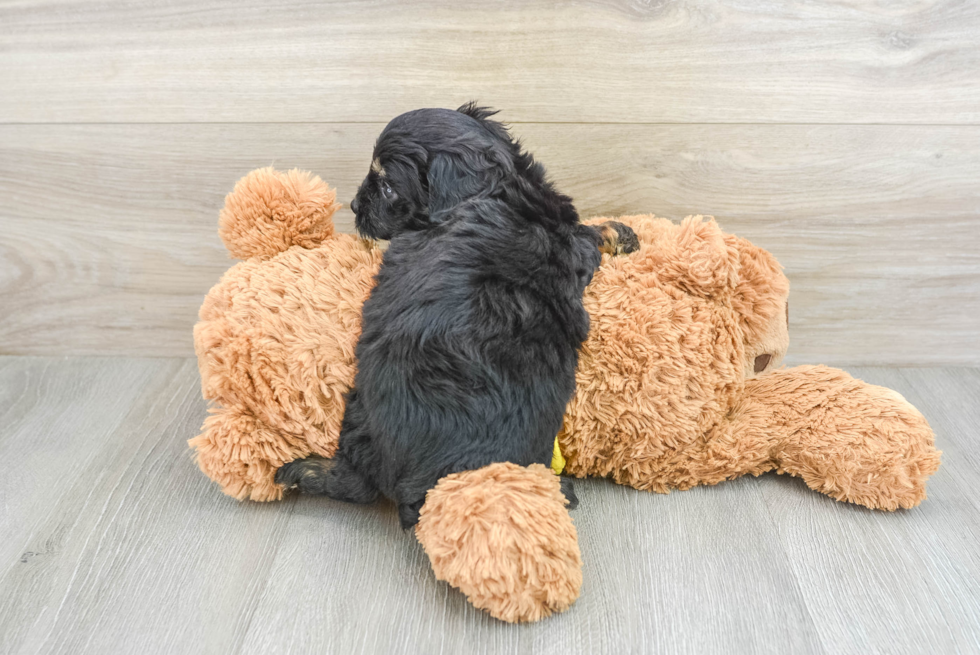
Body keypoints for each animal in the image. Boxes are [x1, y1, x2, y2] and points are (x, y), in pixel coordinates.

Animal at [280, 106, 640, 528]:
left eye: (388, 188)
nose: (353, 206)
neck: (502, 189)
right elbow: (587, 232)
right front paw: (619, 231)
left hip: (360, 410)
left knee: (359, 480)